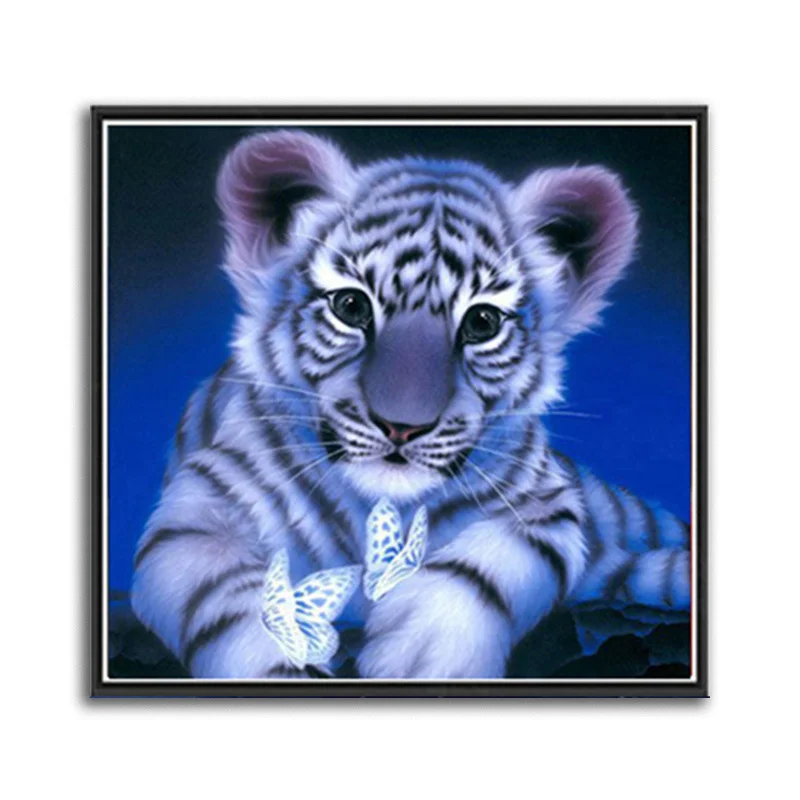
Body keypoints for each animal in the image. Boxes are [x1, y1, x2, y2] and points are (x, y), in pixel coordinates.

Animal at [130, 129, 691, 679]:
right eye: (350, 306)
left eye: (482, 322)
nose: (401, 427)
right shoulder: (197, 513)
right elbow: (234, 600)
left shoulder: (547, 503)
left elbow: (489, 564)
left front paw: (425, 653)